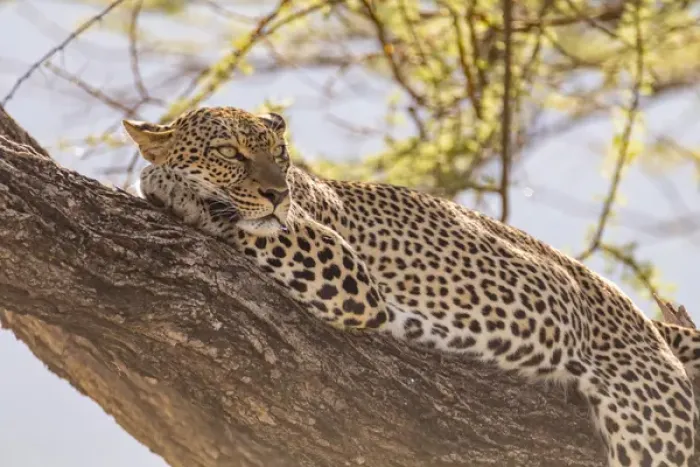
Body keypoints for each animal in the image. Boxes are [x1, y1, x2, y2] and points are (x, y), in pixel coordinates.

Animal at [124, 106, 700, 467]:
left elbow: (244, 221)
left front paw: (166, 183)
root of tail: (641, 317)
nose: (276, 193)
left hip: (651, 417)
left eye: (280, 154)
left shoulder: (344, 271)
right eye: (229, 152)